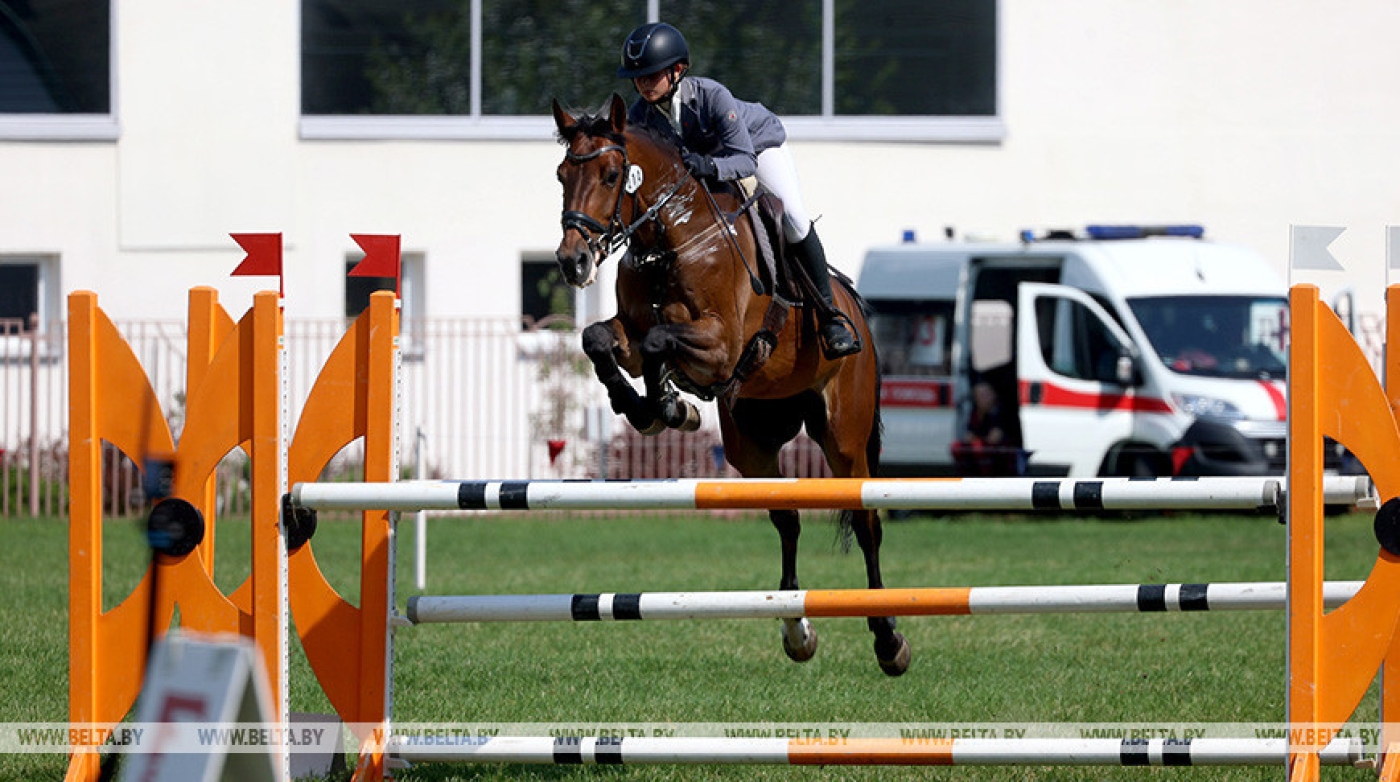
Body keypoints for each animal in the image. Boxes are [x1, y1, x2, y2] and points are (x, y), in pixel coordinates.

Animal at [551, 95, 912, 677]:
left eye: (610, 175)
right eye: (562, 175)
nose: (572, 261)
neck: (668, 240)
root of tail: (854, 304)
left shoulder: (720, 347)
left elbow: (659, 341)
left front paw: (667, 406)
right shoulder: (631, 331)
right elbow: (599, 339)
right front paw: (655, 409)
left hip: (844, 437)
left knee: (866, 523)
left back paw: (888, 640)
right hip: (752, 442)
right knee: (786, 519)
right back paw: (796, 629)